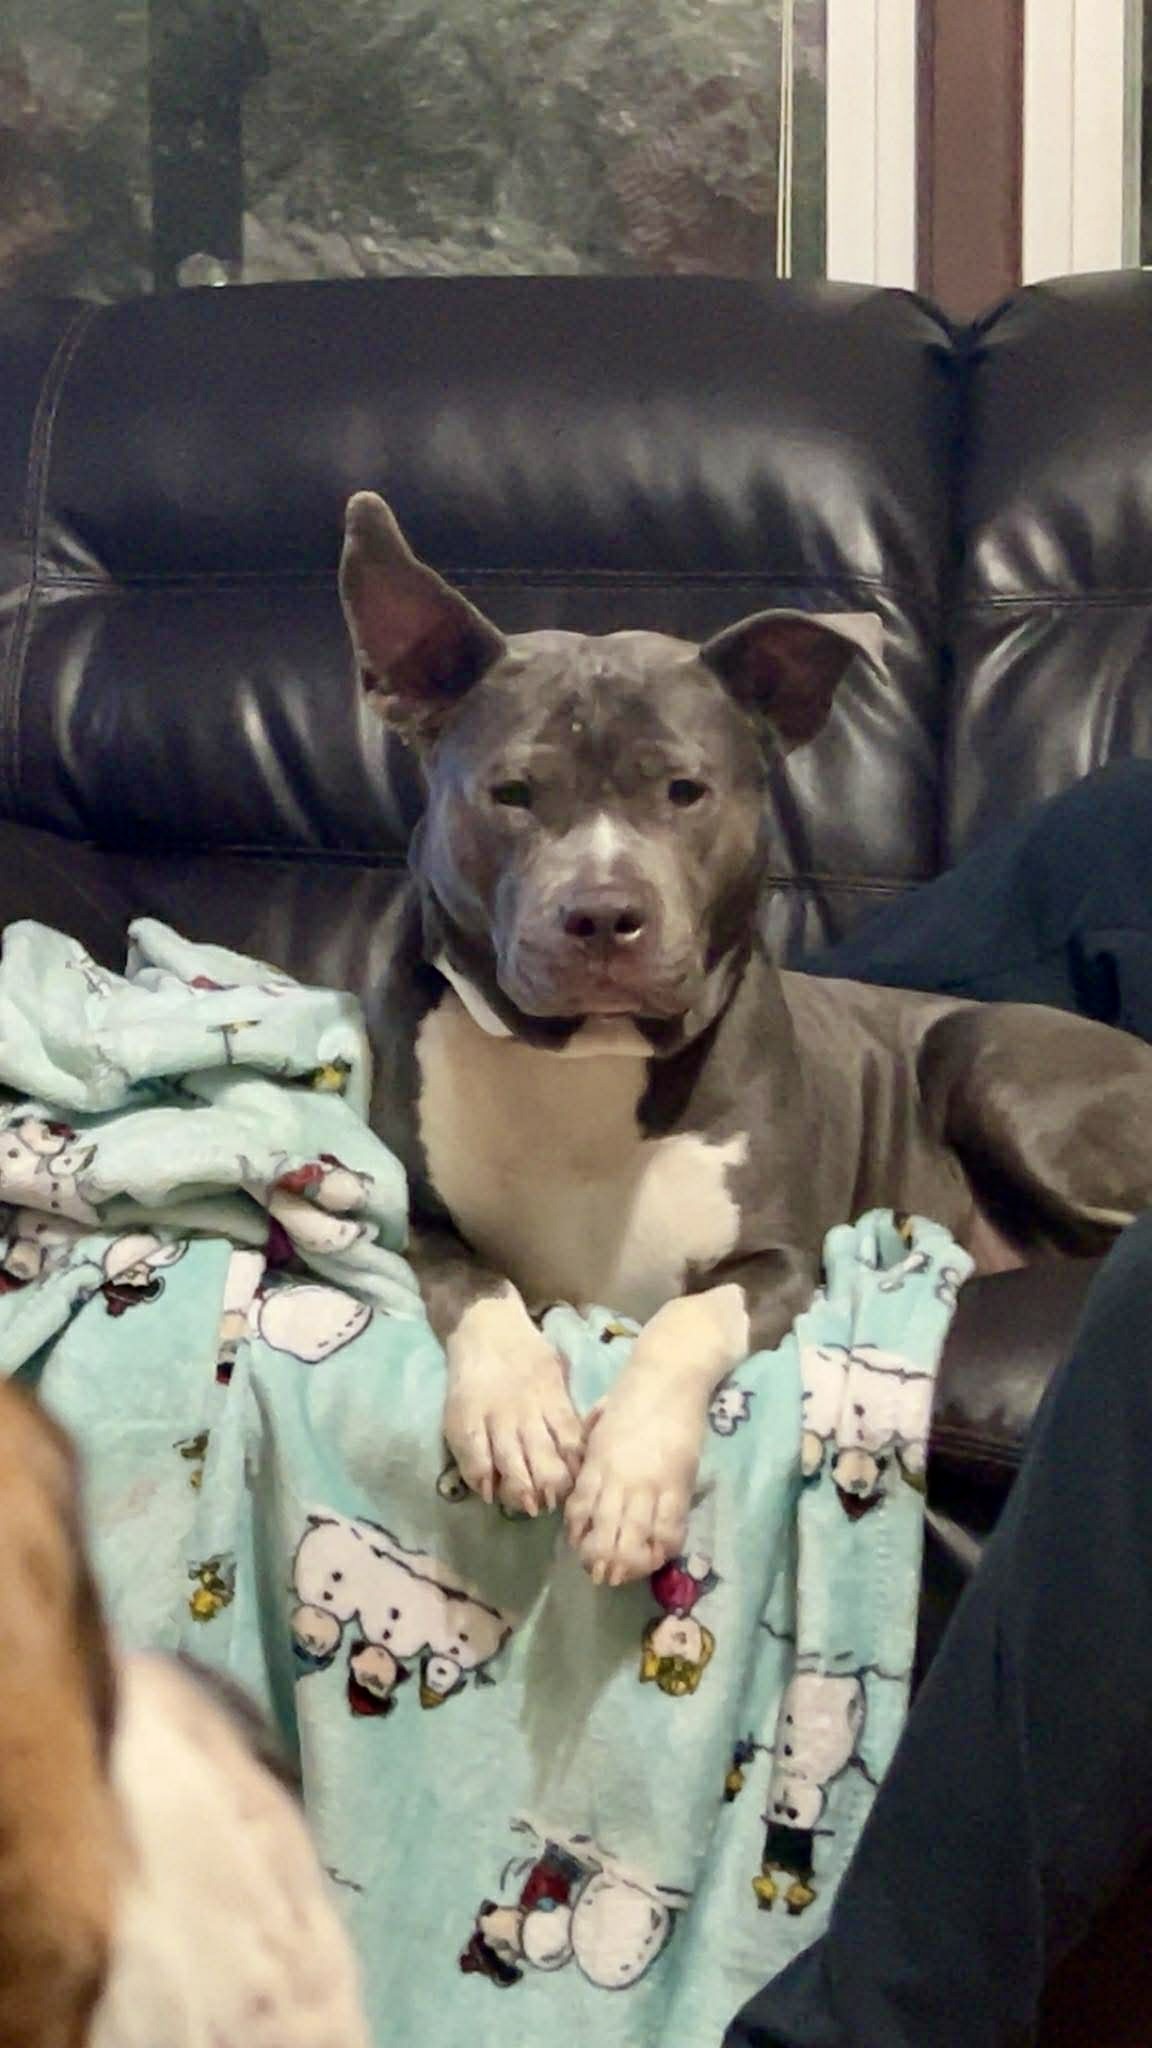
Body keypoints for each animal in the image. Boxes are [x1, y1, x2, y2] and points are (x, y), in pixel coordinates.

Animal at [342, 490, 1152, 1589]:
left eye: (684, 790)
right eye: (511, 794)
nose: (604, 914)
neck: (590, 1062)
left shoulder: (780, 1261)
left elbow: (685, 1321)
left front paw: (629, 1478)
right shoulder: (417, 1218)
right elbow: (473, 1282)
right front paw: (517, 1410)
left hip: (991, 1067)